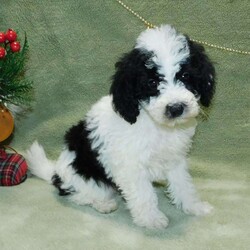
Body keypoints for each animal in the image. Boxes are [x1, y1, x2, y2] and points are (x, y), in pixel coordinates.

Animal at [26, 24, 215, 229]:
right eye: (152, 82)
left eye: (185, 75)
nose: (176, 108)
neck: (157, 125)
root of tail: (56, 173)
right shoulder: (131, 166)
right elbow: (143, 194)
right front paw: (151, 218)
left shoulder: (175, 159)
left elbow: (183, 185)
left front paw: (194, 206)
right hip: (83, 177)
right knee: (78, 195)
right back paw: (103, 204)